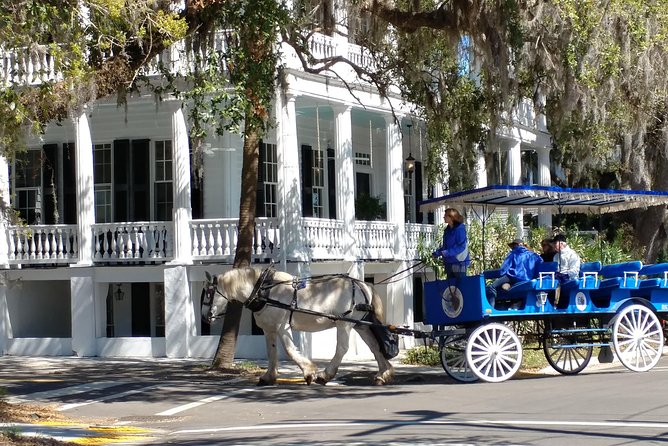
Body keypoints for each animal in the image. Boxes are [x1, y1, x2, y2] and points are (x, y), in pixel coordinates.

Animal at [201, 266, 394, 386]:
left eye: (209, 293)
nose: (204, 317)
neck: (265, 291)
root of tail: (361, 284)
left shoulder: (282, 326)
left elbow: (290, 351)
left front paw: (309, 372)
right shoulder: (269, 329)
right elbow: (271, 352)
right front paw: (269, 376)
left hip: (344, 323)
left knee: (342, 348)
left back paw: (325, 375)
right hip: (360, 325)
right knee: (374, 347)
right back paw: (383, 373)